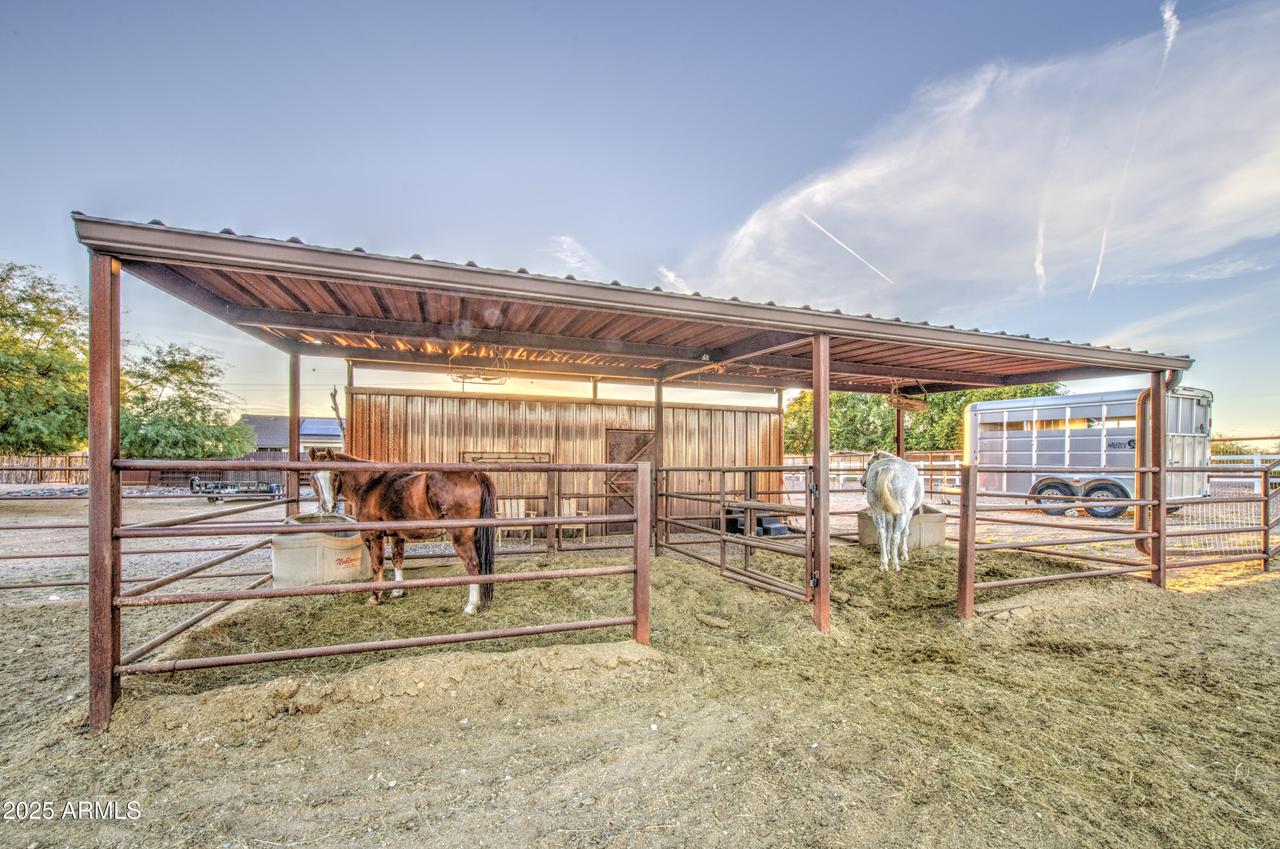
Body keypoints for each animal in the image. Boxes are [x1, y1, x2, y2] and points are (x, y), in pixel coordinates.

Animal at [307, 448, 497, 613]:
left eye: (335, 474)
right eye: (312, 476)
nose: (329, 506)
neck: (369, 484)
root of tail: (474, 474)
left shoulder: (373, 536)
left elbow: (377, 564)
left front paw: (375, 597)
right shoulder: (396, 535)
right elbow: (397, 559)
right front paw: (397, 591)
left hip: (461, 537)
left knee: (472, 564)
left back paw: (471, 606)